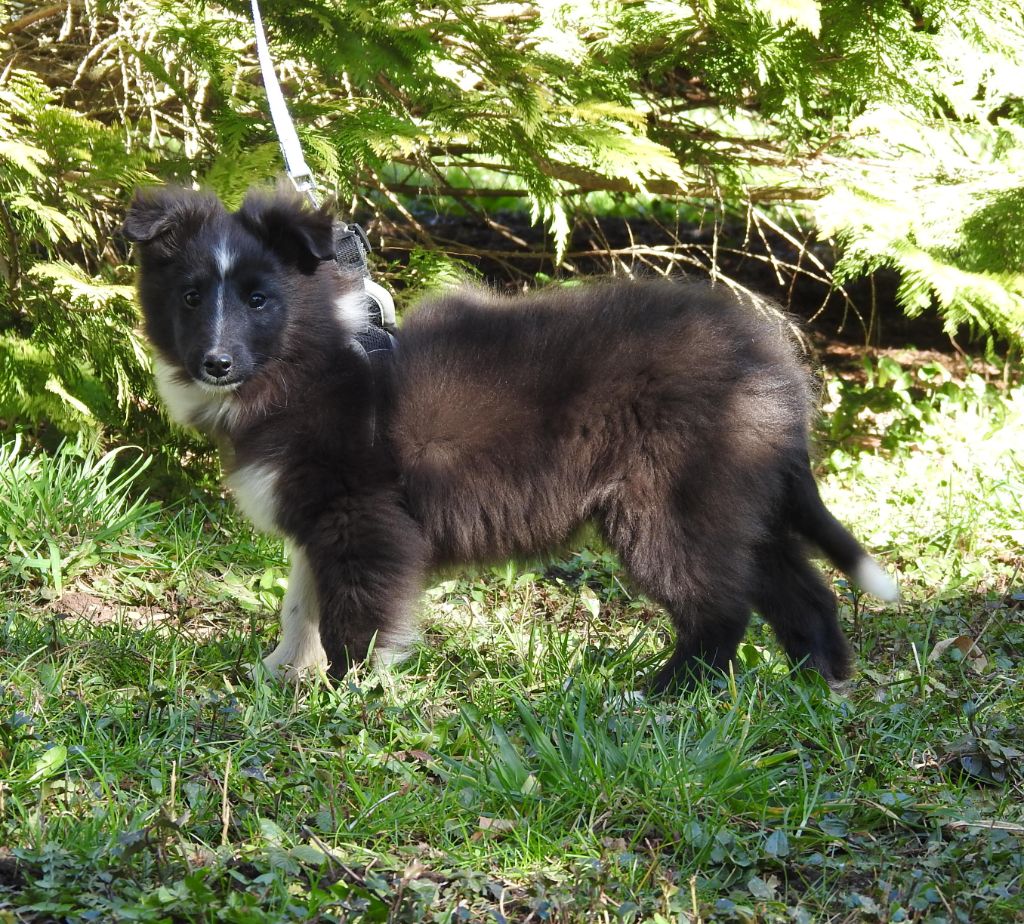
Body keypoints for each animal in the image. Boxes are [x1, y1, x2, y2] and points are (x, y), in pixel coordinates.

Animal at [123, 188, 897, 692]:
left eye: (259, 300)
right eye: (190, 296)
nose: (215, 363)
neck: (305, 359)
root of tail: (772, 366)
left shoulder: (361, 516)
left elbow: (353, 615)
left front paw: (349, 694)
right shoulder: (320, 516)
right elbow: (300, 602)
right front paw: (282, 674)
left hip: (667, 502)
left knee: (722, 610)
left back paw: (660, 694)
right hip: (733, 498)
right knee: (800, 592)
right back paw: (817, 689)